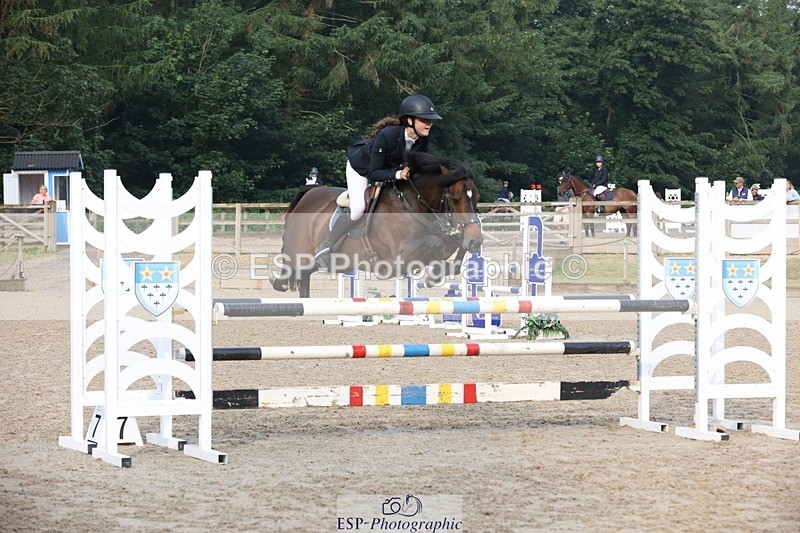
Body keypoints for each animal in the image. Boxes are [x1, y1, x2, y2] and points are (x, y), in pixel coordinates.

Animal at [272, 151, 484, 297]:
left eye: (477, 198)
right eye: (455, 199)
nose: (476, 241)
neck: (411, 204)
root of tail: (308, 194)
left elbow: (454, 245)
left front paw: (441, 271)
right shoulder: (399, 255)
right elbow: (435, 242)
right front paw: (435, 274)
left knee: (304, 281)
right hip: (298, 254)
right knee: (289, 267)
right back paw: (279, 281)